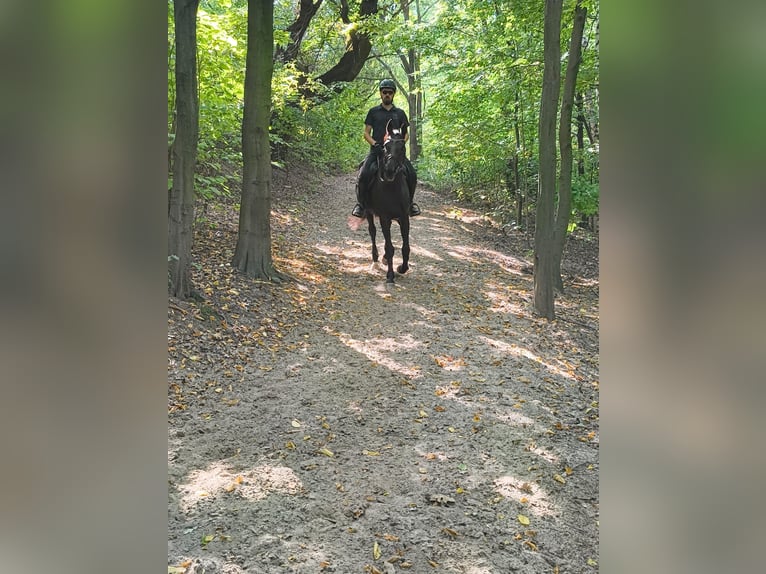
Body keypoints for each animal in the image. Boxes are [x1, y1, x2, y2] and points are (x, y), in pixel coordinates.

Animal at [366, 122, 414, 284]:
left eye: (403, 148)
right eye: (385, 146)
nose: (389, 171)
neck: (392, 188)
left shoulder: (404, 218)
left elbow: (405, 247)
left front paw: (402, 268)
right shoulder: (384, 218)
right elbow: (389, 247)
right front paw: (390, 275)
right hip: (368, 212)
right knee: (372, 232)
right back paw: (375, 259)